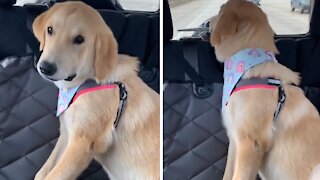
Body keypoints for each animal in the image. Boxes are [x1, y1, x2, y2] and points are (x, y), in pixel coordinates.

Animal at [31, 1, 159, 180]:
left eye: (79, 39)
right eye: (50, 30)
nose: (45, 68)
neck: (87, 82)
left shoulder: (82, 144)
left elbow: (53, 175)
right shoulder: (67, 134)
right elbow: (43, 172)